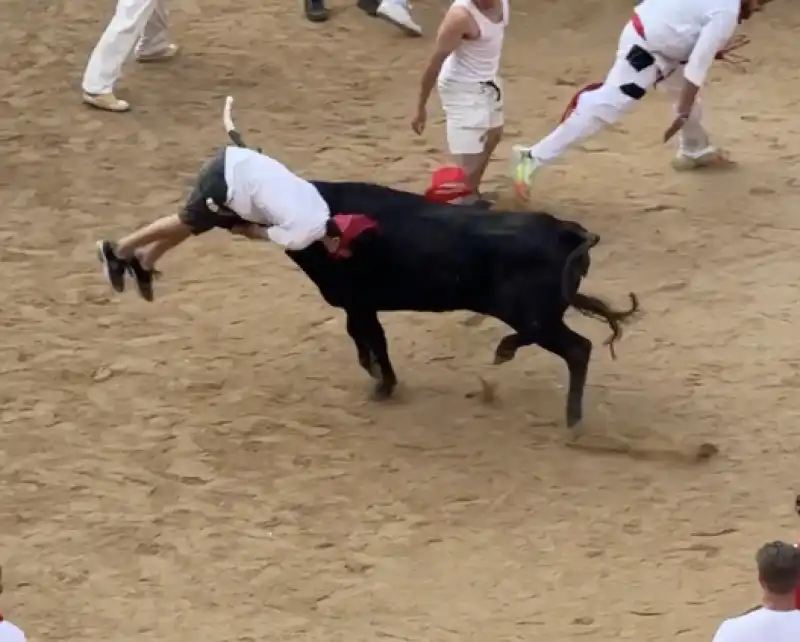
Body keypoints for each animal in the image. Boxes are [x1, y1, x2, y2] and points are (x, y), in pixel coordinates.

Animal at [286, 180, 636, 428]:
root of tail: (566, 230)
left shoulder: (356, 301)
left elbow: (366, 341)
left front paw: (382, 386)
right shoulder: (361, 304)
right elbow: (373, 341)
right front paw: (385, 382)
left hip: (528, 313)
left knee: (576, 348)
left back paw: (571, 419)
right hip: (539, 313)